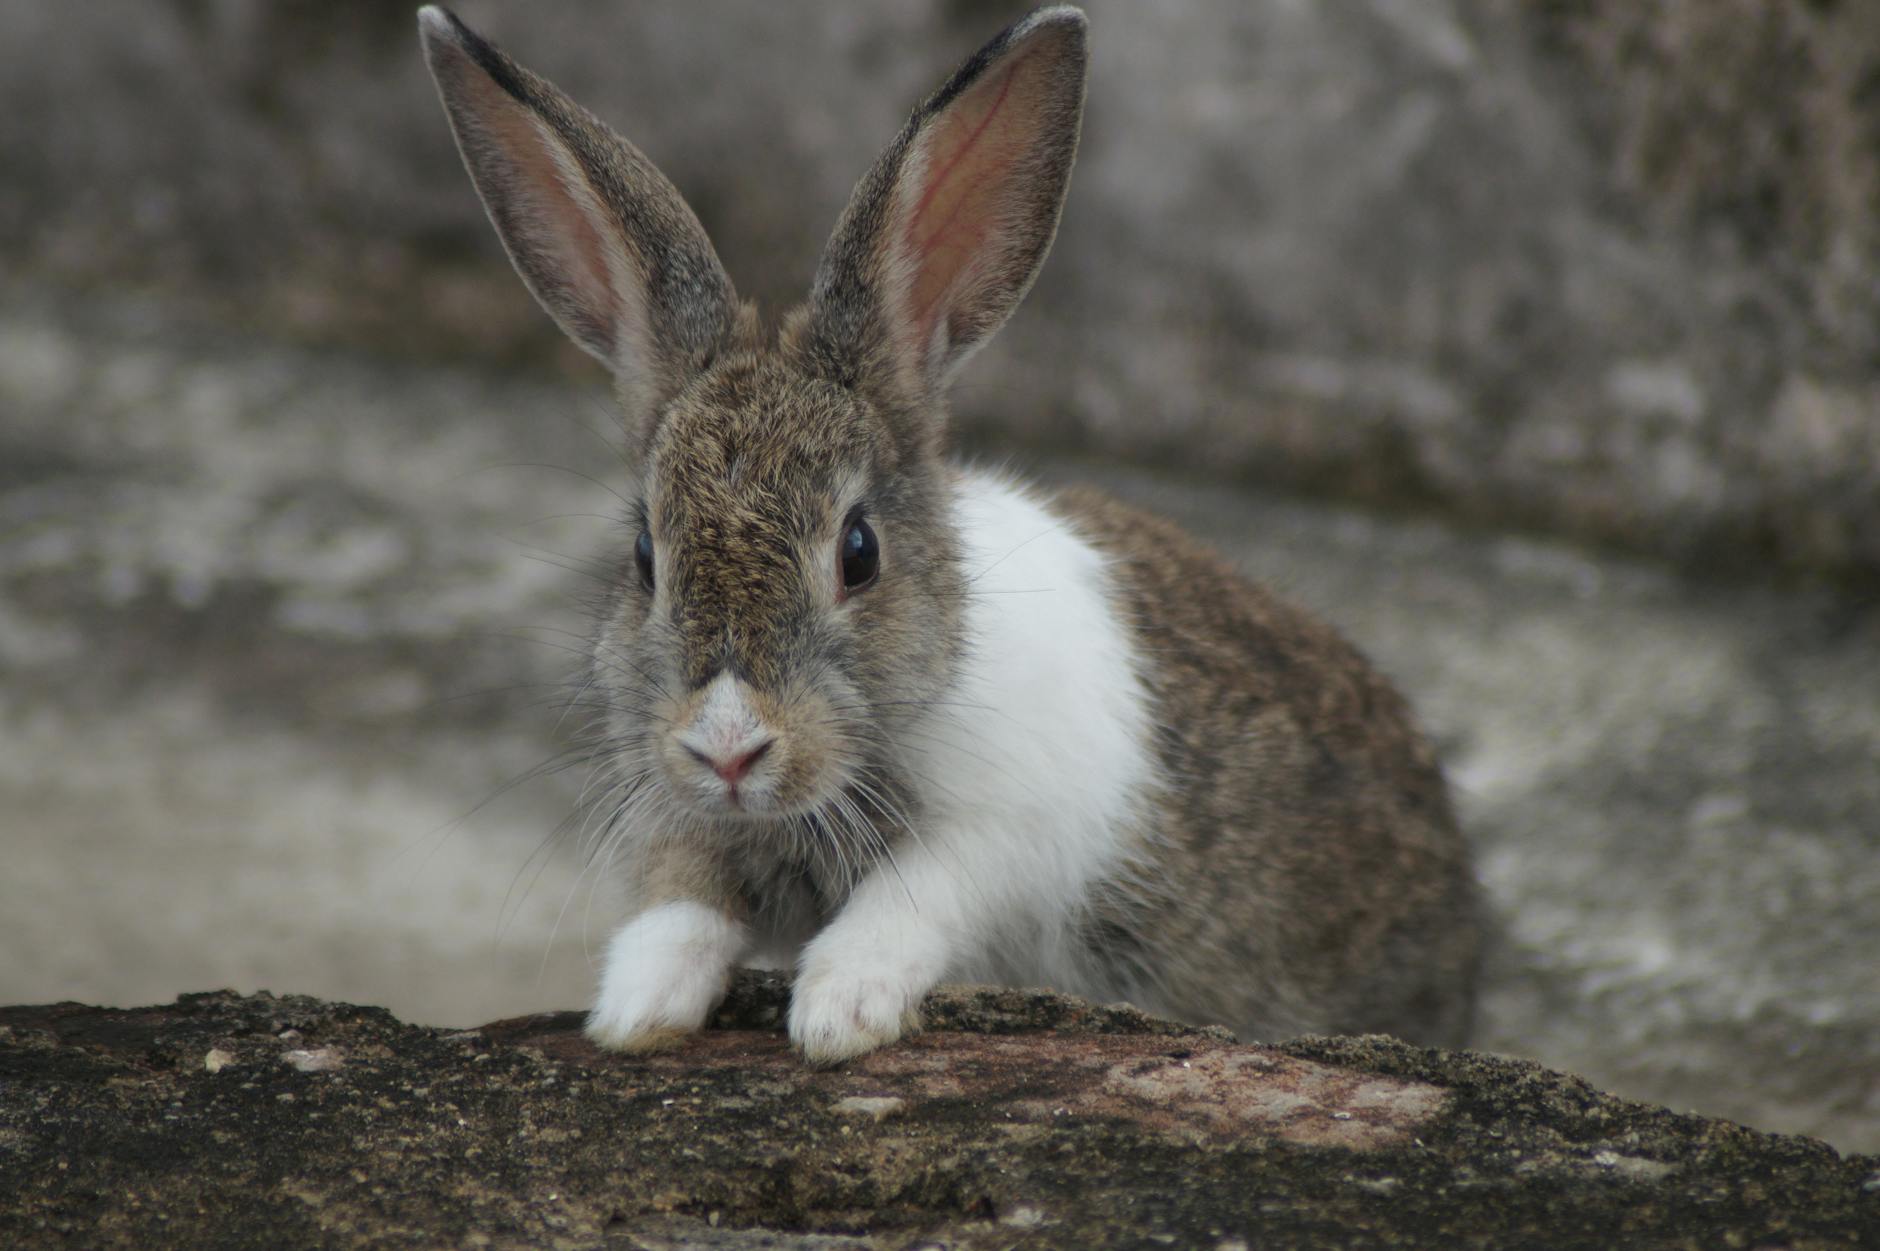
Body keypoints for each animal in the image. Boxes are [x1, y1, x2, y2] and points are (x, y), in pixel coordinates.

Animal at [418, 4, 1481, 1063]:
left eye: (858, 553)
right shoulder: (679, 811)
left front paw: (839, 1013)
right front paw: (637, 1010)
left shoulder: (1003, 832)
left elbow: (913, 897)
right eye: (646, 557)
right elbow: (682, 901)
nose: (728, 750)